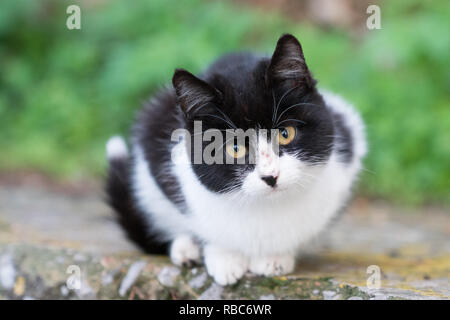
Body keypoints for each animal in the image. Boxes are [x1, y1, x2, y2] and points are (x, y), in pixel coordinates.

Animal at [104, 34, 366, 284]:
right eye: (235, 148)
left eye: (285, 133)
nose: (271, 176)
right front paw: (225, 258)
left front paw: (274, 258)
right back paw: (186, 250)